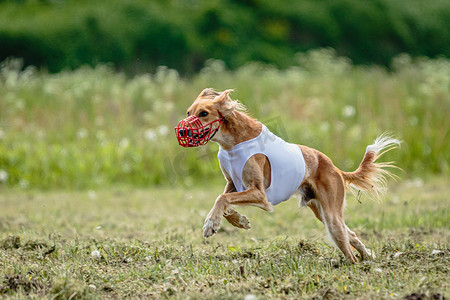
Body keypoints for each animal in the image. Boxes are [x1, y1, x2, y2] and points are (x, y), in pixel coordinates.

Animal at [174, 88, 400, 262]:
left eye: (204, 113)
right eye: (188, 112)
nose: (182, 132)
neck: (233, 142)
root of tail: (334, 167)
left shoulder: (259, 194)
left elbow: (222, 198)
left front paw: (210, 224)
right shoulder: (233, 183)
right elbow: (224, 202)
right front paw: (240, 221)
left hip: (331, 216)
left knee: (347, 248)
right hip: (321, 210)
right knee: (350, 233)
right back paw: (368, 256)